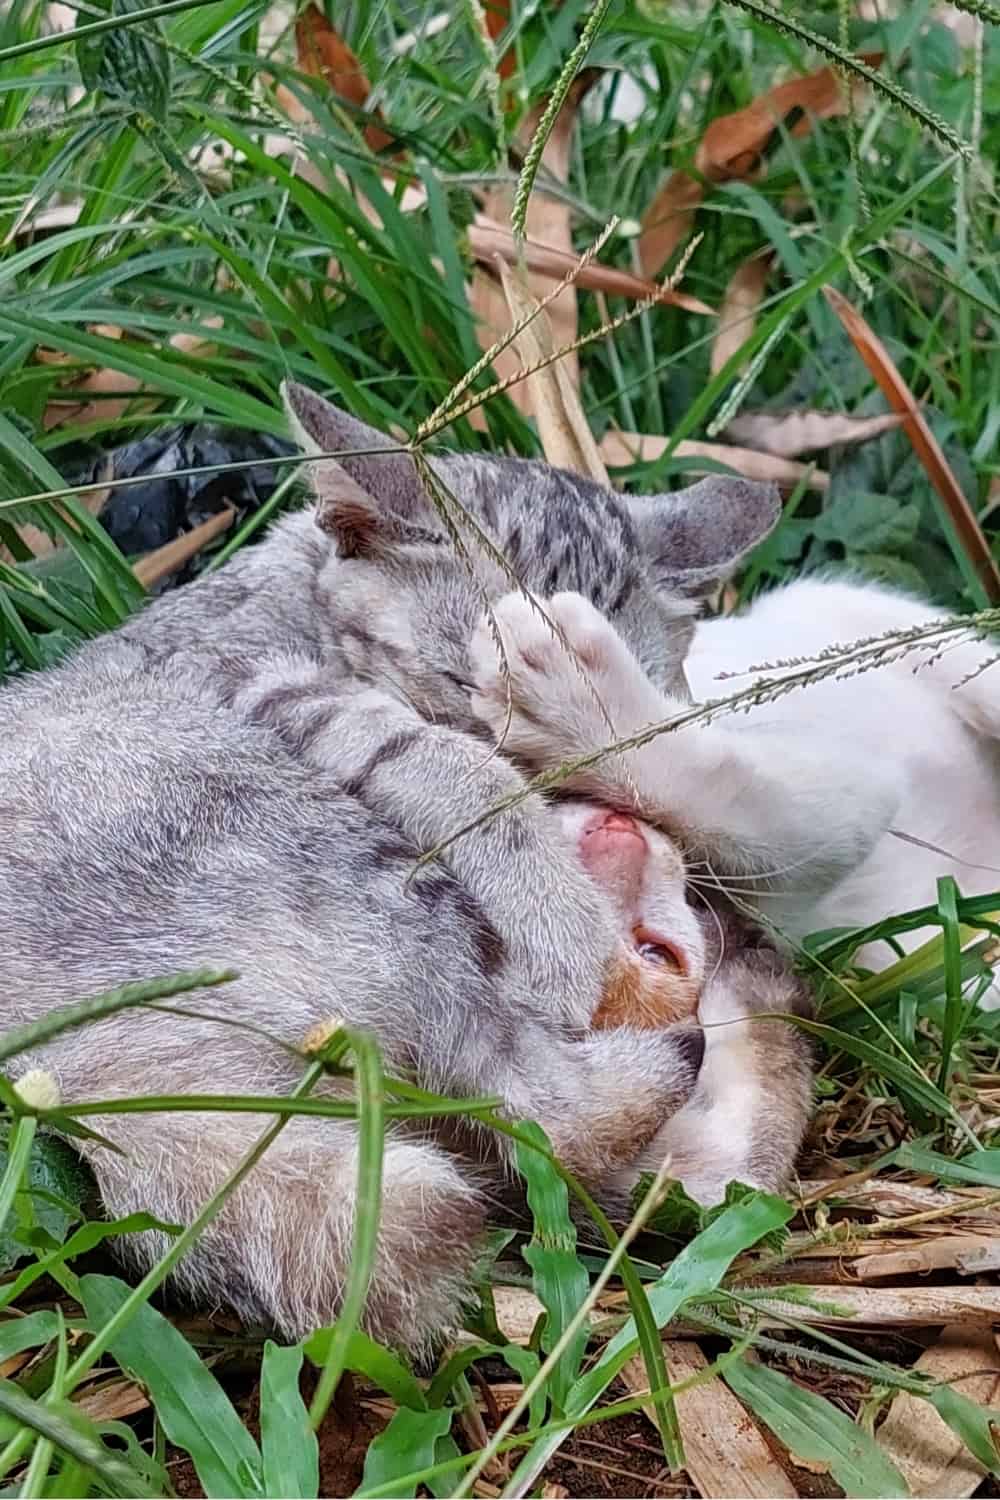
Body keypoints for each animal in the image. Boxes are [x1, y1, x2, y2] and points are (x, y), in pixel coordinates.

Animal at [0, 387, 815, 1350]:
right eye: (459, 687)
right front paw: (557, 906)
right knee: (542, 1101)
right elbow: (449, 766)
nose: (583, 804)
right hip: (369, 876)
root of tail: (78, 1082)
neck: (287, 588)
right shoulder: (261, 684)